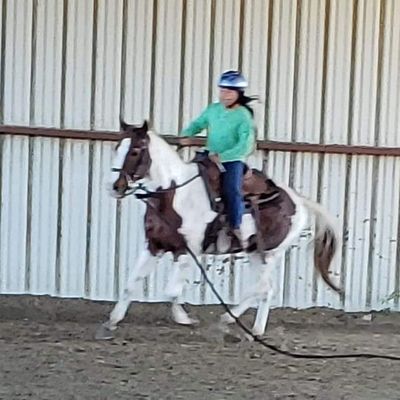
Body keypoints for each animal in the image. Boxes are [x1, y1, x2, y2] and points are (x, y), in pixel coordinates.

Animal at [94, 120, 340, 340]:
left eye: (135, 151)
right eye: (117, 147)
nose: (113, 186)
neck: (174, 194)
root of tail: (298, 201)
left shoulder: (186, 251)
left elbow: (171, 291)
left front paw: (185, 319)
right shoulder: (153, 246)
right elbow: (130, 285)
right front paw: (112, 322)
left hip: (272, 253)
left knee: (263, 287)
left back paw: (241, 324)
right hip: (254, 253)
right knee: (265, 289)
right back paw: (241, 323)